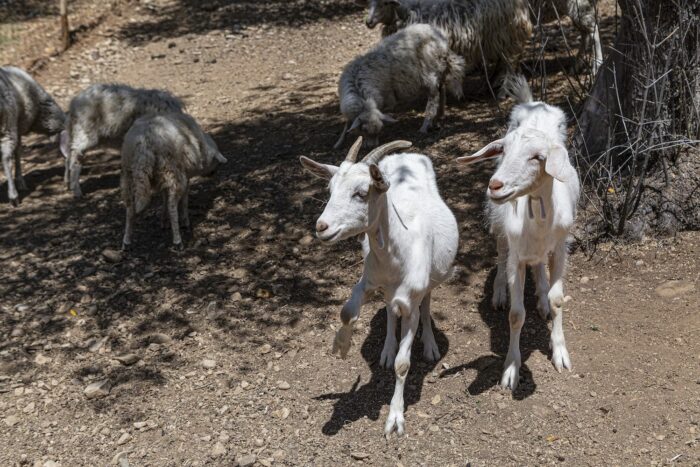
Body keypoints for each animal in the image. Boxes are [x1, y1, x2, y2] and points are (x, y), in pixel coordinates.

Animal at [0, 66, 65, 206]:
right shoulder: (15, 126)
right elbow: (17, 153)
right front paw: (20, 183)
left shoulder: (17, 127)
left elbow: (18, 152)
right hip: (6, 128)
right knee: (6, 158)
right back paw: (13, 195)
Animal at [120, 112, 227, 250]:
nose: (214, 173)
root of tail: (144, 141)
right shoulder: (185, 175)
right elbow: (183, 200)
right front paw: (185, 221)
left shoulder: (163, 180)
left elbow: (164, 199)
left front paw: (163, 221)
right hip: (172, 170)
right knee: (172, 205)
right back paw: (177, 240)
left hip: (129, 174)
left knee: (130, 209)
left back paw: (126, 241)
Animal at [300, 137, 460, 436]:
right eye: (330, 189)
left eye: (362, 193)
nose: (322, 227)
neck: (397, 254)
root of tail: (406, 155)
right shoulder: (368, 281)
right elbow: (347, 311)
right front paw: (341, 345)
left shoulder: (410, 304)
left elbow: (403, 363)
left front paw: (395, 418)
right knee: (387, 308)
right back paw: (386, 348)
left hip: (432, 279)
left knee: (426, 303)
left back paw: (430, 345)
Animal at [456, 77, 576, 392]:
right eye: (503, 152)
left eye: (538, 157)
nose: (495, 185)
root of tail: (533, 103)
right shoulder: (516, 255)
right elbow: (516, 313)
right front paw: (511, 370)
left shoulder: (561, 247)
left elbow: (559, 299)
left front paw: (560, 352)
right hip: (500, 228)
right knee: (499, 253)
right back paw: (499, 293)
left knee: (540, 266)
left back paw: (542, 299)